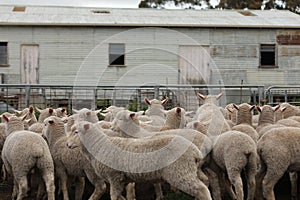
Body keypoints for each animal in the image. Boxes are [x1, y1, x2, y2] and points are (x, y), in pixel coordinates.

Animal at [68, 120, 213, 200]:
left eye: (76, 132)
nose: (68, 145)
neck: (98, 145)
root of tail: (195, 151)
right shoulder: (120, 179)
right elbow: (120, 196)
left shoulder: (114, 176)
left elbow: (114, 196)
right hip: (190, 169)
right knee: (204, 181)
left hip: (179, 172)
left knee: (201, 189)